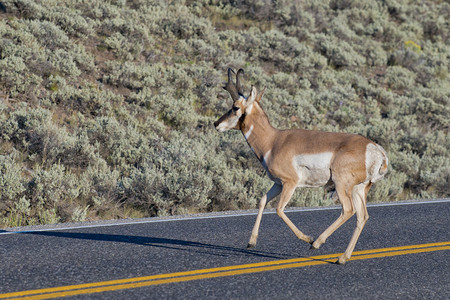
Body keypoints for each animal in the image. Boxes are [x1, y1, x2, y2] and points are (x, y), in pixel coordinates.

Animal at [214, 67, 386, 262]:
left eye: (235, 107)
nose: (216, 123)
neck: (273, 141)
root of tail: (374, 148)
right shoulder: (278, 183)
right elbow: (263, 200)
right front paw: (251, 242)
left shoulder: (290, 182)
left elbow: (279, 209)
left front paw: (308, 238)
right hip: (359, 189)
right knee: (362, 216)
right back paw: (342, 258)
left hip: (341, 184)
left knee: (348, 210)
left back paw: (317, 243)